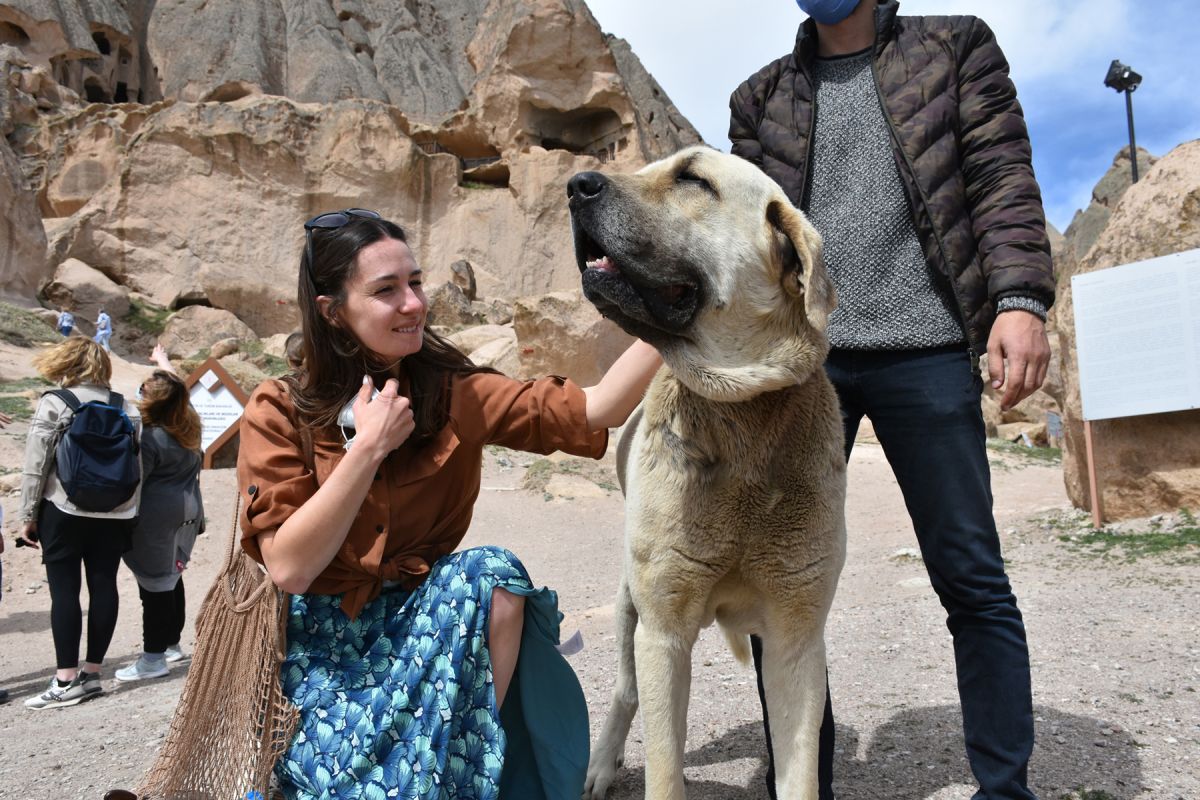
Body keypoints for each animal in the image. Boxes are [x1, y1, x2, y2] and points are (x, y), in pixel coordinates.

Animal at [568, 146, 844, 796]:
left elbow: (800, 773)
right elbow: (666, 770)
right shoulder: (664, 633)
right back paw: (601, 764)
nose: (574, 184)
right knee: (625, 692)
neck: (741, 411)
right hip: (630, 608)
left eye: (694, 179)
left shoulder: (797, 644)